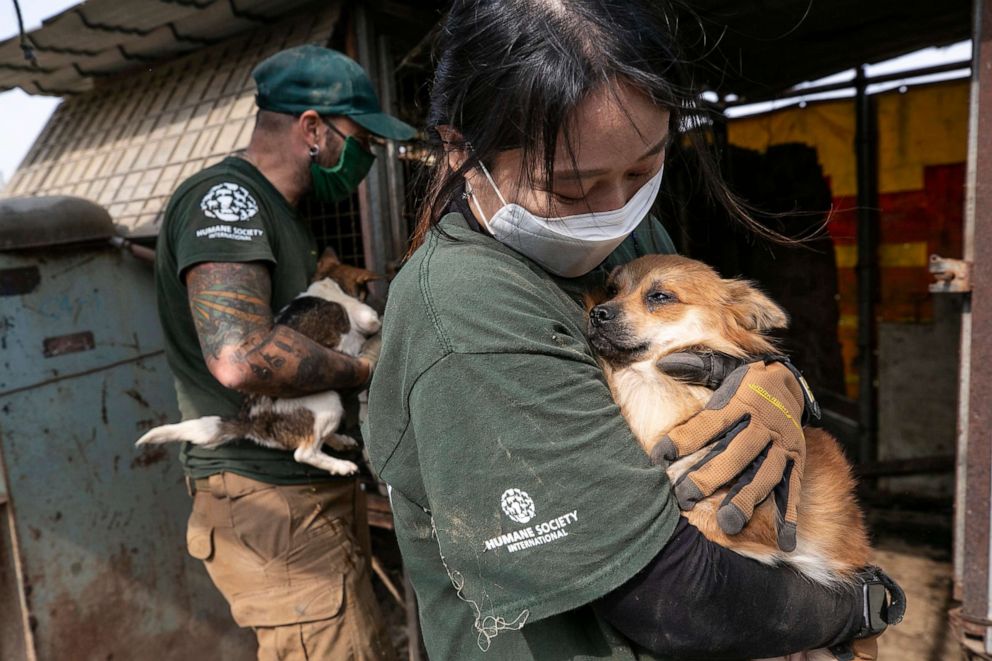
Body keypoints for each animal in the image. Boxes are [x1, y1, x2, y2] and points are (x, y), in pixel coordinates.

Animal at [139, 251, 384, 474]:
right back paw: (341, 466)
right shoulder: (366, 317)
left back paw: (341, 441)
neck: (330, 284)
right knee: (304, 453)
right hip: (328, 402)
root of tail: (250, 421)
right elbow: (375, 321)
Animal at [584, 254, 872, 588]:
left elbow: (702, 518)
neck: (648, 383)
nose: (597, 313)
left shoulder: (757, 513)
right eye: (611, 290)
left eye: (660, 297)